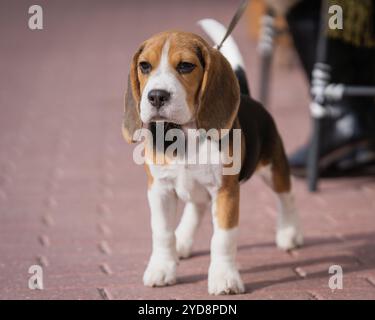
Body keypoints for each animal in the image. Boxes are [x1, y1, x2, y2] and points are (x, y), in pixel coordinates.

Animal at [122, 19, 304, 296]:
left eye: (186, 66)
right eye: (145, 66)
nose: (156, 96)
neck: (185, 135)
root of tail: (248, 96)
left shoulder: (225, 191)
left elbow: (223, 238)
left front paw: (224, 278)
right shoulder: (159, 189)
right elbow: (162, 232)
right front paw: (162, 268)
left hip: (273, 168)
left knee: (288, 195)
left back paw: (290, 232)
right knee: (196, 206)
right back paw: (183, 240)